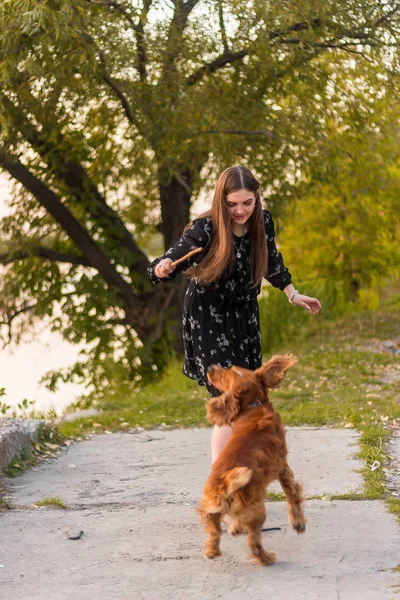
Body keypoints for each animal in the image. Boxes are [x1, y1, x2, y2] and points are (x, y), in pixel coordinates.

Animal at [198, 354, 306, 564]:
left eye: (229, 370)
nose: (210, 367)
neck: (254, 406)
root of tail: (224, 483)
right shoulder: (283, 468)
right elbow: (293, 494)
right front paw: (298, 523)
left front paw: (234, 528)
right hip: (257, 511)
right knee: (253, 543)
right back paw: (267, 558)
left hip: (212, 512)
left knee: (215, 534)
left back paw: (212, 551)